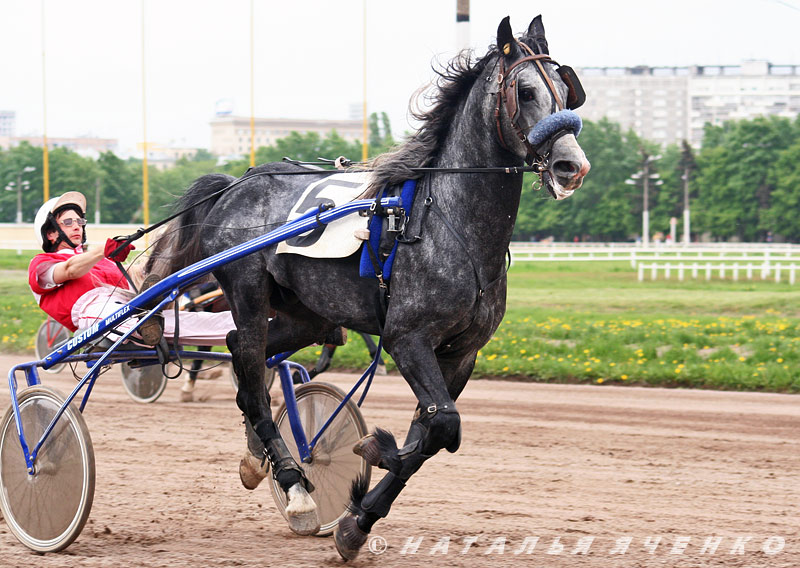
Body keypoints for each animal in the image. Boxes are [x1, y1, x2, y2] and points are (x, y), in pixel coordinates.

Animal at [148, 14, 588, 560]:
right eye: (525, 92)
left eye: (566, 92)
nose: (572, 165)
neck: (448, 222)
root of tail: (234, 184)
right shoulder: (407, 337)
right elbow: (442, 427)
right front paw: (372, 457)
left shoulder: (462, 353)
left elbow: (430, 434)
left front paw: (358, 517)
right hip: (248, 294)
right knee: (249, 365)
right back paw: (294, 485)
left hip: (309, 314)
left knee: (244, 360)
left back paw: (258, 457)